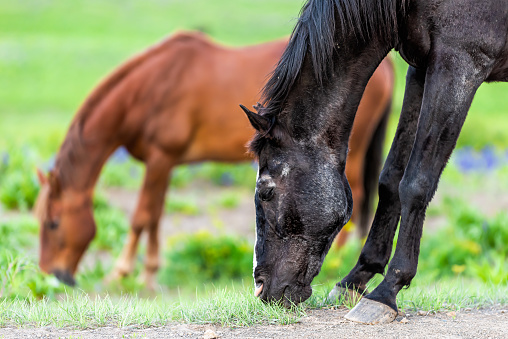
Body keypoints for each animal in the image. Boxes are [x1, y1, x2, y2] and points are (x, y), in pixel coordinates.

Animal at [34, 31, 392, 286]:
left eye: (53, 223)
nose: (50, 273)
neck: (148, 90)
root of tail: (385, 68)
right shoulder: (164, 163)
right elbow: (156, 215)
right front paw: (149, 273)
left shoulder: (160, 158)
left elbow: (141, 216)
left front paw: (120, 272)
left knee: (357, 196)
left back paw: (338, 259)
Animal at [240, 0, 508, 326]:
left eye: (266, 191)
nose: (260, 287)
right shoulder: (421, 70)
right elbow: (391, 179)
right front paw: (356, 279)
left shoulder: (459, 67)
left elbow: (416, 182)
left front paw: (386, 292)